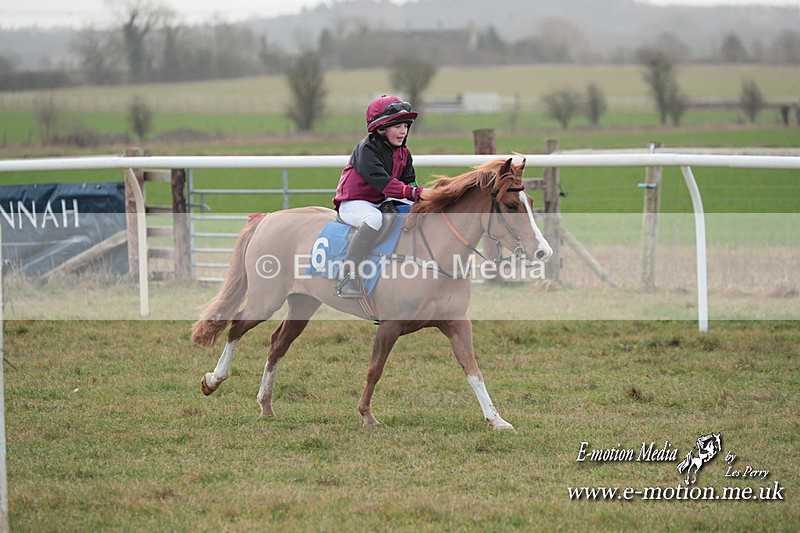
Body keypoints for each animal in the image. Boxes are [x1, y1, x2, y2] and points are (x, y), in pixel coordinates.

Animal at [190, 157, 553, 431]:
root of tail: (267, 219)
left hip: (303, 303)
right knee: (236, 326)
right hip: (267, 299)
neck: (433, 255)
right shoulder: (390, 326)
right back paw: (213, 380)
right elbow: (375, 369)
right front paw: (366, 415)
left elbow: (473, 370)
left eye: (531, 202)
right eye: (511, 205)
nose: (542, 252)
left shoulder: (457, 324)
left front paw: (496, 419)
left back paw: (265, 403)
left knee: (278, 343)